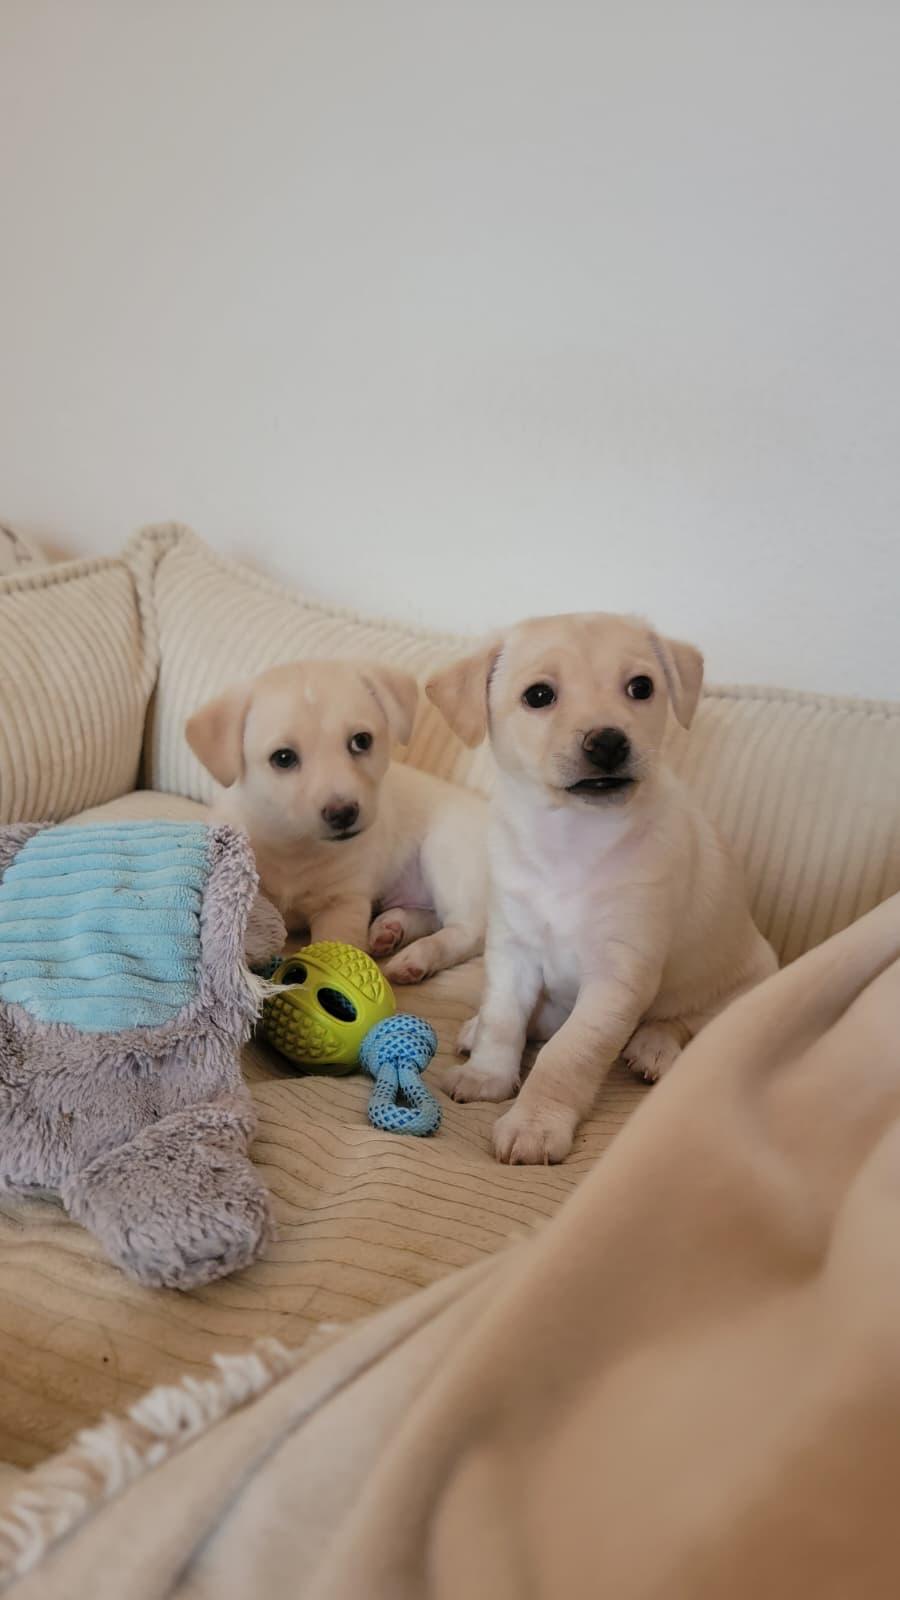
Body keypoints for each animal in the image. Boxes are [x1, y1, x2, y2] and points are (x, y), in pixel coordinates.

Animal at [186, 660, 488, 984]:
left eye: (361, 741)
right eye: (283, 757)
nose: (343, 812)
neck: (295, 848)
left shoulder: (343, 904)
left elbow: (333, 947)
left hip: (447, 858)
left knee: (468, 931)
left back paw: (416, 957)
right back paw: (390, 929)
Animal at [426, 613, 777, 1163]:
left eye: (641, 687)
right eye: (539, 695)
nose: (609, 742)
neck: (573, 838)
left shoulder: (618, 976)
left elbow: (567, 1056)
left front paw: (534, 1124)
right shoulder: (513, 949)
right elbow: (504, 1018)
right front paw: (487, 1075)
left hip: (738, 986)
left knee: (685, 1021)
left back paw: (653, 1047)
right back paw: (477, 1027)